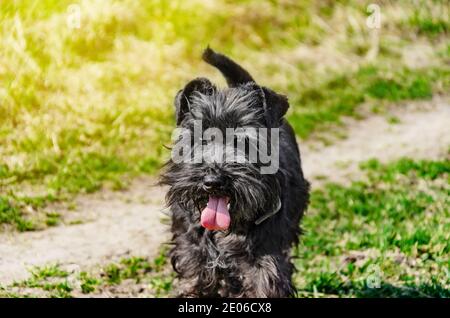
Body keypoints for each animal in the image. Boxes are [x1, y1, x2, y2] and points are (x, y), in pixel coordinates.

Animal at [160, 47, 312, 298]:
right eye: (199, 139)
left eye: (244, 141)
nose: (213, 181)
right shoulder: (192, 249)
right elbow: (196, 276)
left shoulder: (264, 255)